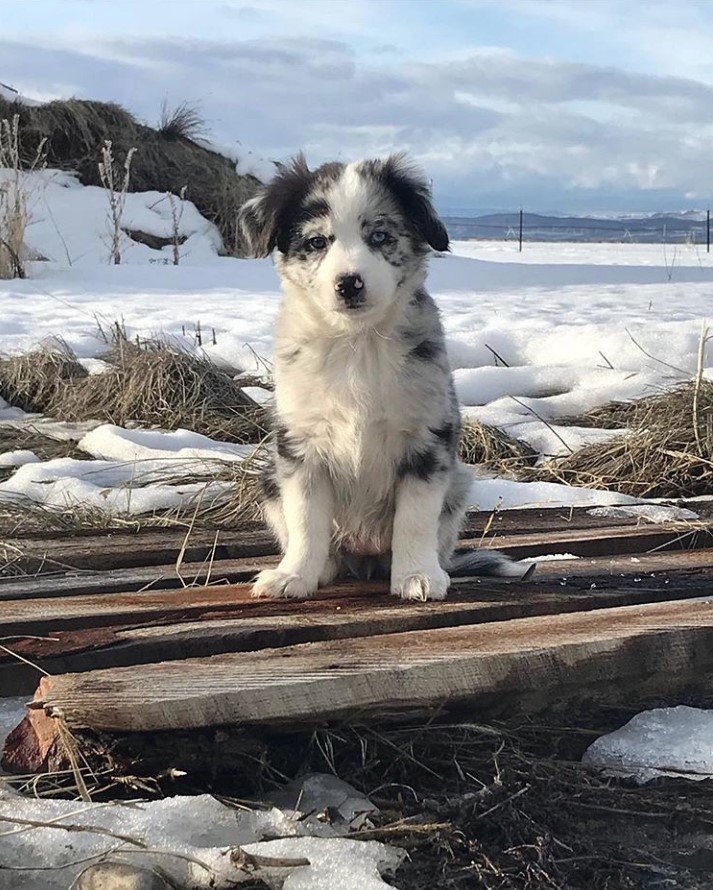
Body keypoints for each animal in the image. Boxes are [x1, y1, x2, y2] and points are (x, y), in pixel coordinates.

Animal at [242, 154, 524, 604]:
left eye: (379, 236)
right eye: (317, 242)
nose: (349, 283)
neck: (357, 343)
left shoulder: (426, 442)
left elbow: (414, 519)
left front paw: (417, 575)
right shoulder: (300, 449)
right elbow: (306, 521)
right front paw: (294, 575)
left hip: (459, 482)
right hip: (269, 480)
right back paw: (323, 569)